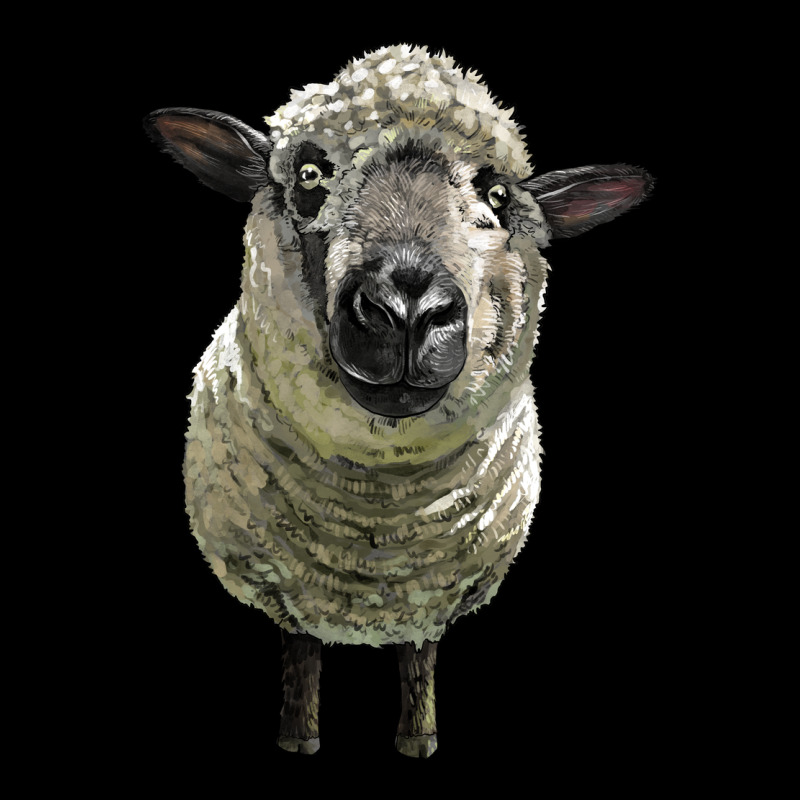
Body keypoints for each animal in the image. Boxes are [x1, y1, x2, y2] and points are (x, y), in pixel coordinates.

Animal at [144, 43, 652, 758]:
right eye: (309, 174)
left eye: (497, 195)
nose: (407, 311)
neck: (375, 522)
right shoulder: (285, 582)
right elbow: (300, 651)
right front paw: (298, 739)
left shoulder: (432, 593)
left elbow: (419, 658)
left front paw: (419, 741)